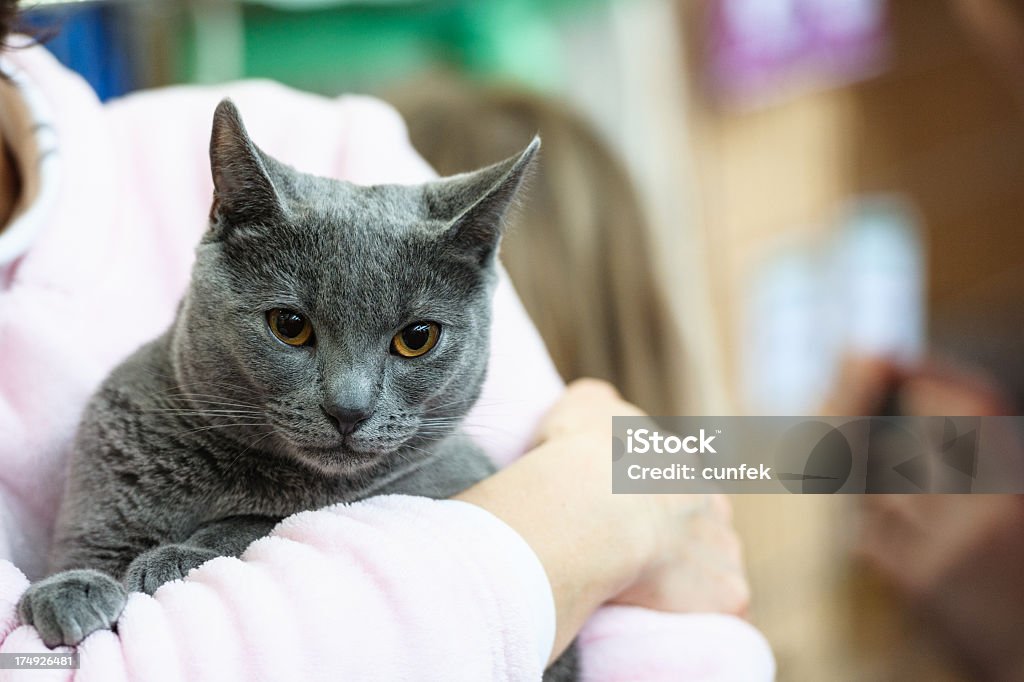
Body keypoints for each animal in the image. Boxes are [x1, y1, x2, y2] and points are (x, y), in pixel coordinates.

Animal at [18, 98, 577, 675]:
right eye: (289, 325)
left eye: (417, 338)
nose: (349, 408)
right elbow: (88, 551)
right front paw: (68, 589)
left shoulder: (438, 483)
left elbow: (262, 523)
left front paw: (175, 557)